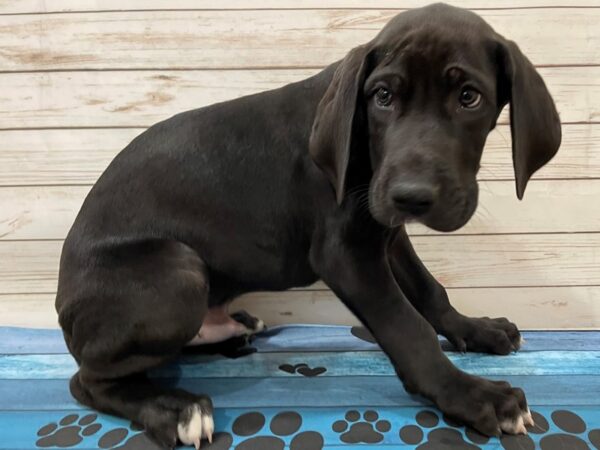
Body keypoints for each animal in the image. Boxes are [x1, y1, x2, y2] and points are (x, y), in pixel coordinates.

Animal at [54, 2, 560, 446]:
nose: (412, 195)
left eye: (469, 97)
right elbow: (407, 325)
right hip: (179, 272)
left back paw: (233, 330)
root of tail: (63, 308)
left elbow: (427, 289)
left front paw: (475, 329)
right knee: (87, 380)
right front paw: (471, 394)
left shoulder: (385, 230)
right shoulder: (346, 253)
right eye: (383, 96)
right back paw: (174, 409)